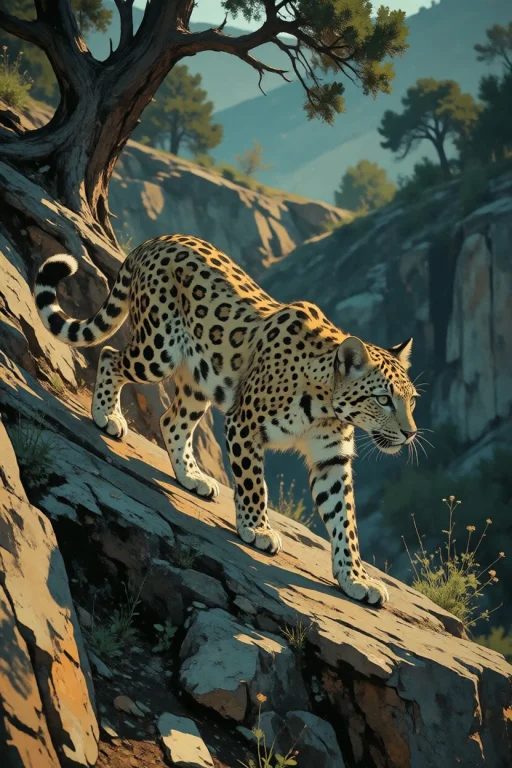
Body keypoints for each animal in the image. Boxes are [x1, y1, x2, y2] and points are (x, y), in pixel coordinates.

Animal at [34, 233, 420, 606]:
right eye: (383, 400)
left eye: (412, 400)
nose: (410, 434)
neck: (326, 408)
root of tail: (157, 240)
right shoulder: (244, 424)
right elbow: (254, 484)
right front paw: (257, 530)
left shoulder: (332, 459)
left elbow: (345, 521)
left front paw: (355, 579)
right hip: (156, 351)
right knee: (111, 356)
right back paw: (106, 416)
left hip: (197, 380)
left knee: (172, 421)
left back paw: (192, 478)